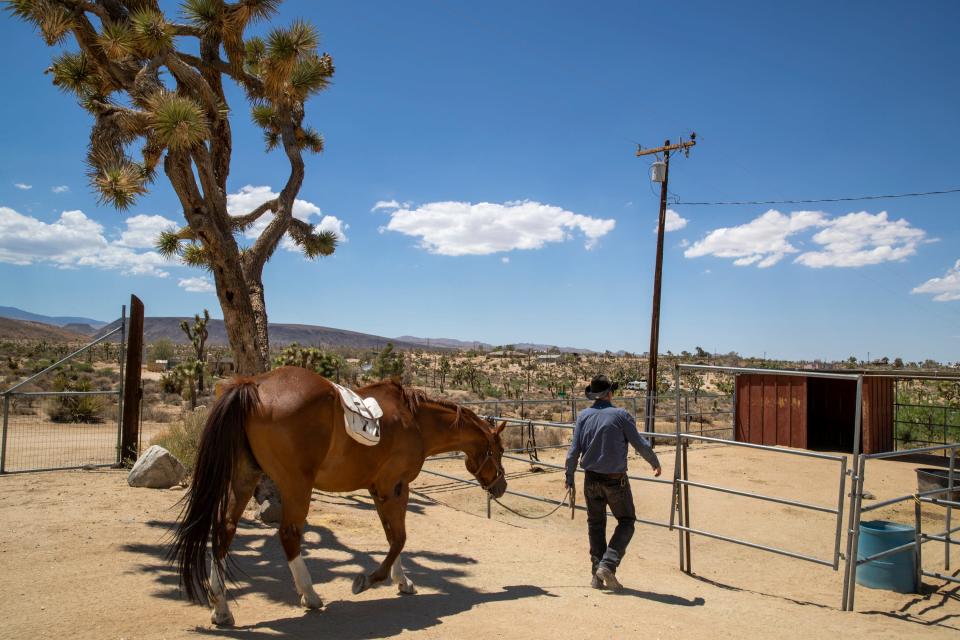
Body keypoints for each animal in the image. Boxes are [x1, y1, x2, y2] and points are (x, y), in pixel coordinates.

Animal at [171, 364, 510, 624]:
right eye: (500, 450)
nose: (501, 486)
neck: (416, 422)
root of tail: (253, 385)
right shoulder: (395, 486)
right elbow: (400, 538)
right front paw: (369, 580)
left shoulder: (378, 490)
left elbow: (392, 537)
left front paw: (402, 581)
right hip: (296, 485)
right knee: (288, 534)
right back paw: (310, 595)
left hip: (244, 478)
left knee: (224, 531)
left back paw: (221, 608)